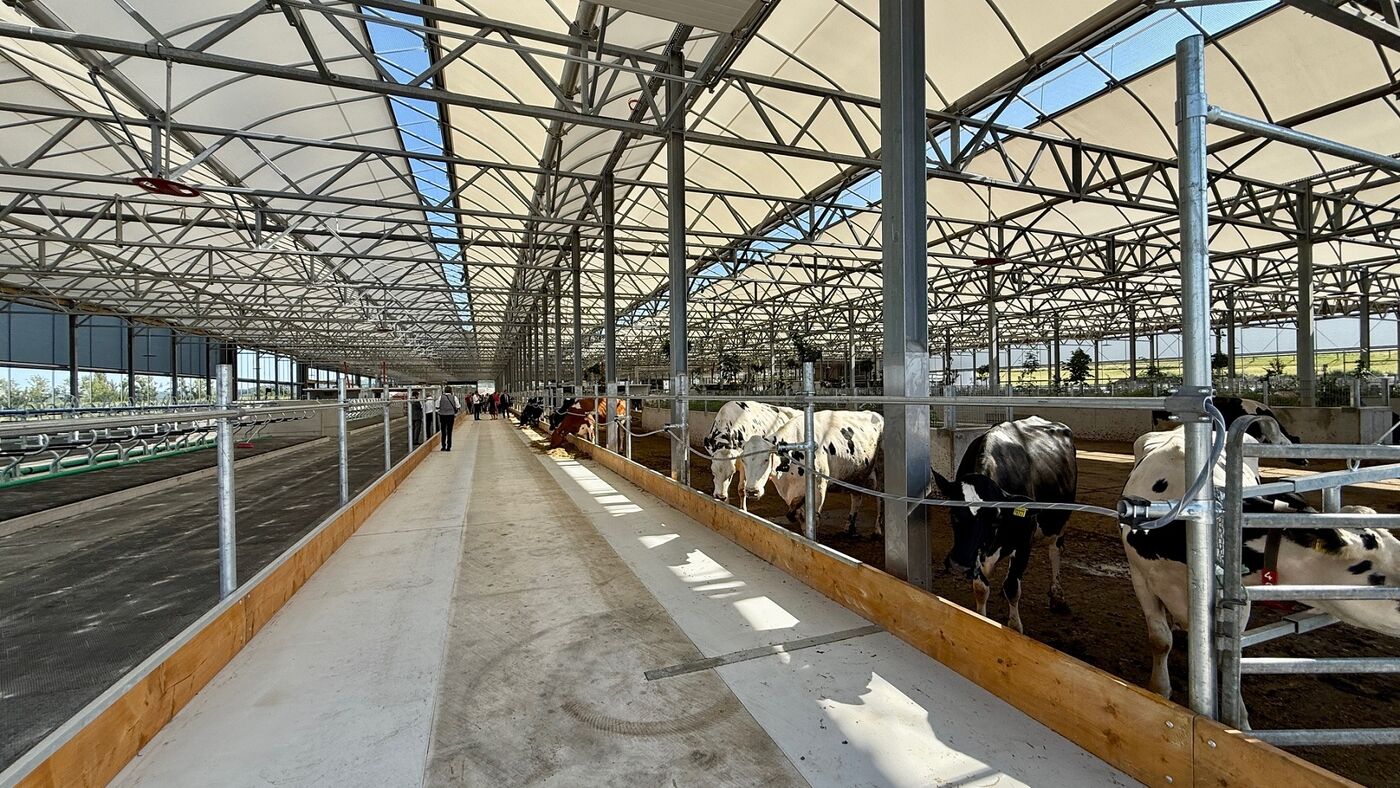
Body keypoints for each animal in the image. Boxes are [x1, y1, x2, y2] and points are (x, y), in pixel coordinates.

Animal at [741, 410, 883, 537]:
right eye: (743, 460)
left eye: (765, 459)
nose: (751, 491)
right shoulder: (787, 492)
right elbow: (799, 516)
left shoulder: (819, 487)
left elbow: (813, 519)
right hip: (856, 474)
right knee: (856, 497)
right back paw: (850, 528)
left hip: (879, 472)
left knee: (880, 499)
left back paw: (877, 530)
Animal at [930, 417, 1078, 633]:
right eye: (953, 514)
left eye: (995, 519)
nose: (958, 564)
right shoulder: (976, 552)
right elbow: (981, 588)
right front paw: (981, 619)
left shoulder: (1024, 543)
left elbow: (1012, 587)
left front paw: (1014, 627)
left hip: (1059, 521)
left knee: (1055, 551)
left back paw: (1058, 597)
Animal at [1121, 417, 1400, 701]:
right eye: (1383, 580)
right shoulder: (1140, 576)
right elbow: (1160, 640)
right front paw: (1159, 689)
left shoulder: (1236, 592)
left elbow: (1227, 653)